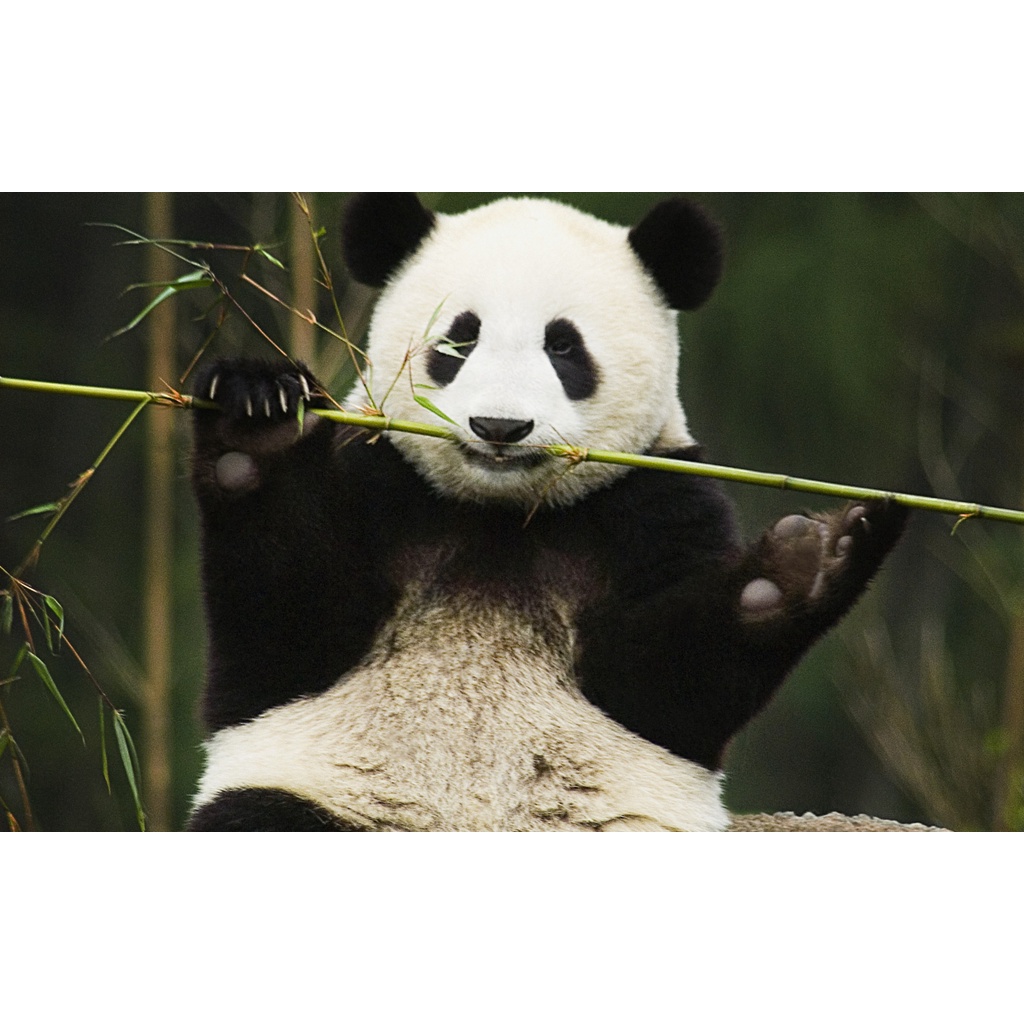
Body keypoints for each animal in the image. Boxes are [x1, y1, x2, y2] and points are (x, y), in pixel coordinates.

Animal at [186, 193, 906, 831]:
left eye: (564, 347)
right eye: (459, 339)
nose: (500, 427)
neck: (503, 513)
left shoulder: (659, 504)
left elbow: (669, 685)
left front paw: (806, 565)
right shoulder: (378, 477)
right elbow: (285, 633)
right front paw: (256, 422)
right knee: (255, 816)